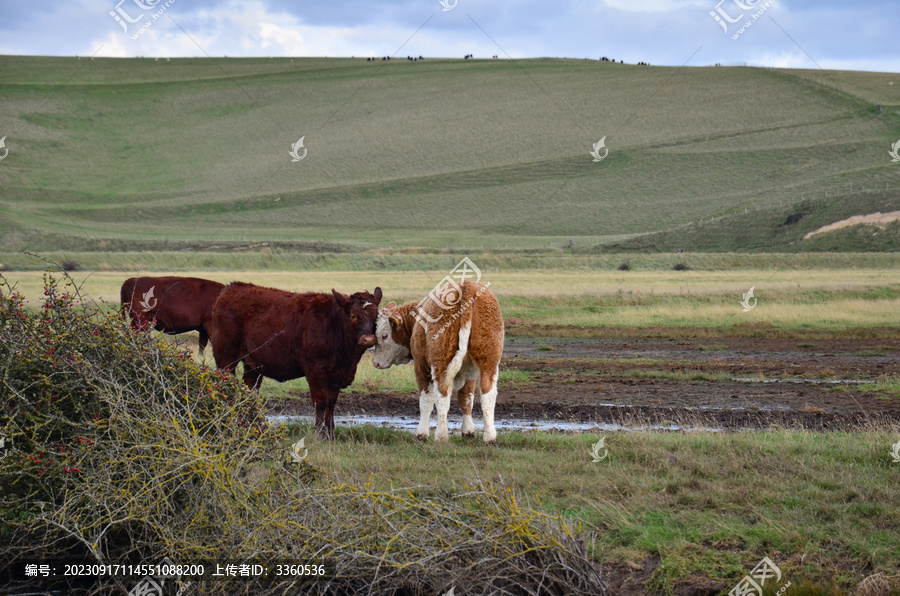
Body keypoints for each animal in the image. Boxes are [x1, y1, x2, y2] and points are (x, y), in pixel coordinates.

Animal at [211, 282, 384, 440]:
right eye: (353, 315)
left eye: (376, 317)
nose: (368, 339)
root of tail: (230, 288)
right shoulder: (316, 371)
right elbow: (321, 402)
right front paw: (320, 434)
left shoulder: (336, 375)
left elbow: (331, 404)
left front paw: (330, 434)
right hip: (226, 358)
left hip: (253, 365)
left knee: (250, 391)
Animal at [370, 280, 502, 442]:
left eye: (384, 335)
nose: (376, 363)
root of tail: (467, 286)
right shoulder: (470, 373)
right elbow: (466, 398)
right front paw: (468, 430)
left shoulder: (421, 367)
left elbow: (426, 400)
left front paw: (421, 433)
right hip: (489, 362)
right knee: (488, 394)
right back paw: (490, 436)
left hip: (441, 363)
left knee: (442, 396)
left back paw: (441, 435)